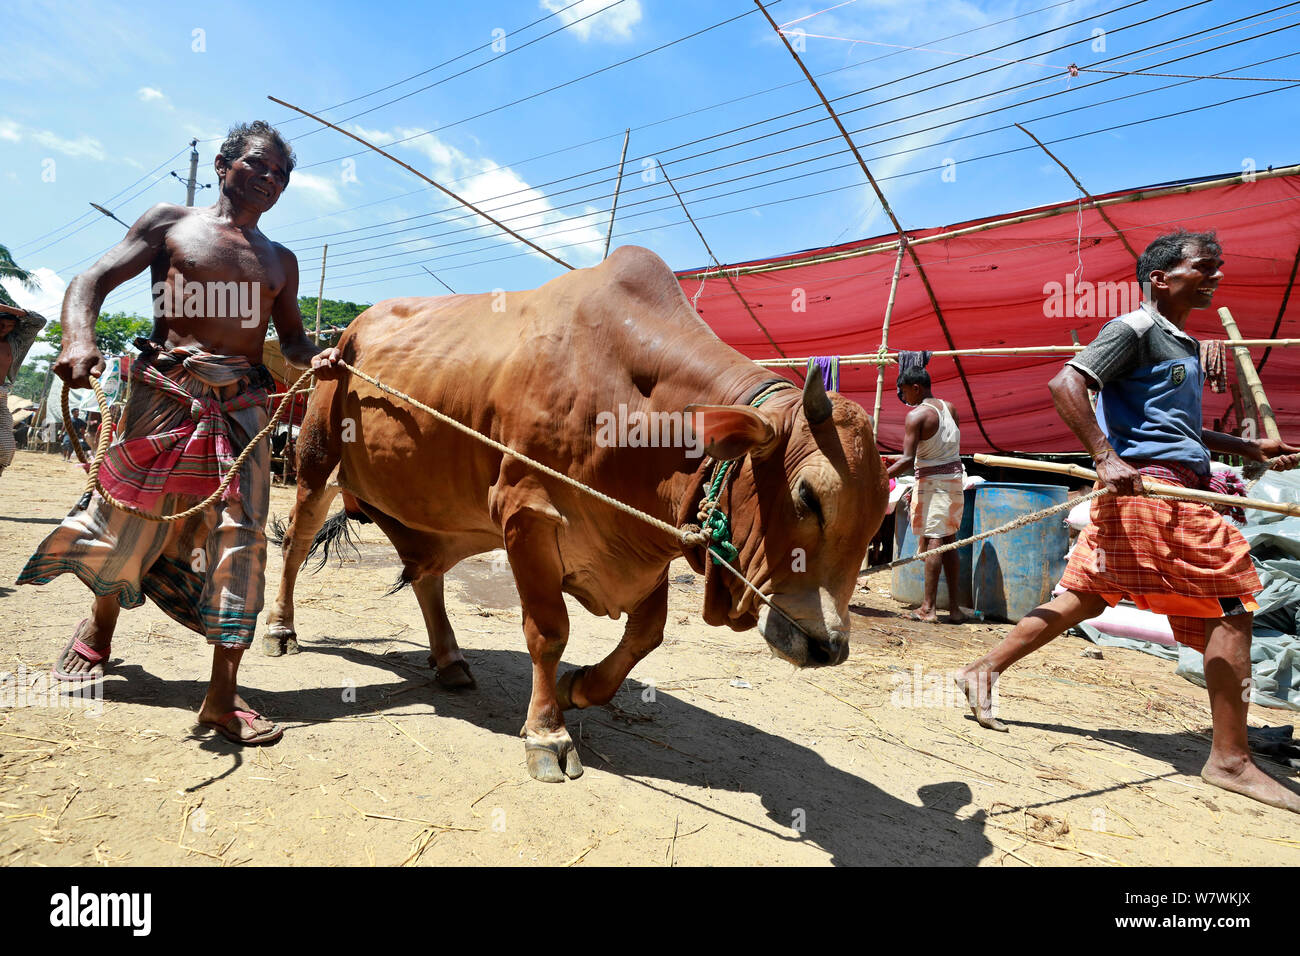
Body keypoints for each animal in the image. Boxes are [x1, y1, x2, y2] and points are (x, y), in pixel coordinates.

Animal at [267, 247, 889, 785]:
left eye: (880, 518)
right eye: (808, 496)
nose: (829, 647)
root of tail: (343, 337)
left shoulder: (646, 539)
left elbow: (646, 635)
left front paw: (580, 688)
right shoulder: (527, 513)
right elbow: (549, 632)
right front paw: (548, 733)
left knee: (427, 577)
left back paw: (449, 660)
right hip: (316, 464)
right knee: (295, 546)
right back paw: (280, 628)